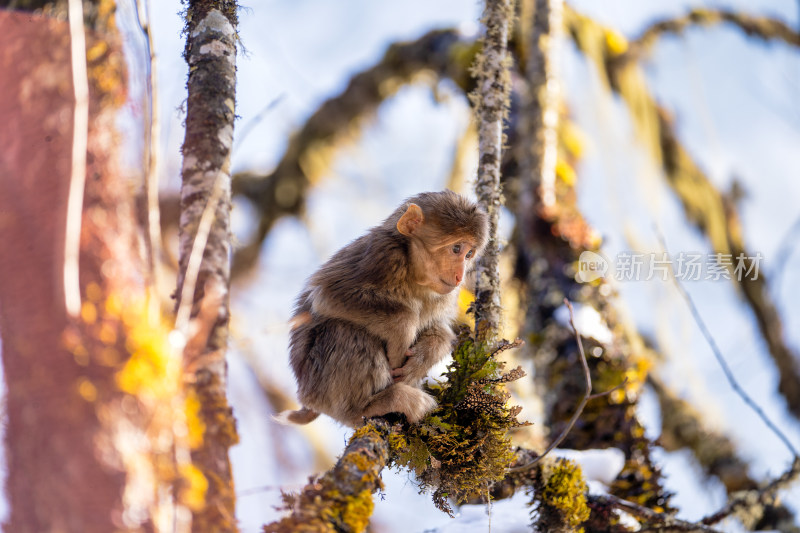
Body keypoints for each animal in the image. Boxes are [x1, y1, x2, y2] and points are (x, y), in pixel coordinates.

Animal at [282, 189, 488, 426]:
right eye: (456, 248)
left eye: (469, 254)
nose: (460, 276)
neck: (414, 276)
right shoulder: (382, 255)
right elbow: (327, 295)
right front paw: (403, 329)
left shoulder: (445, 295)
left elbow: (439, 328)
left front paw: (423, 357)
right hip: (319, 386)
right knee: (343, 330)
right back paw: (366, 407)